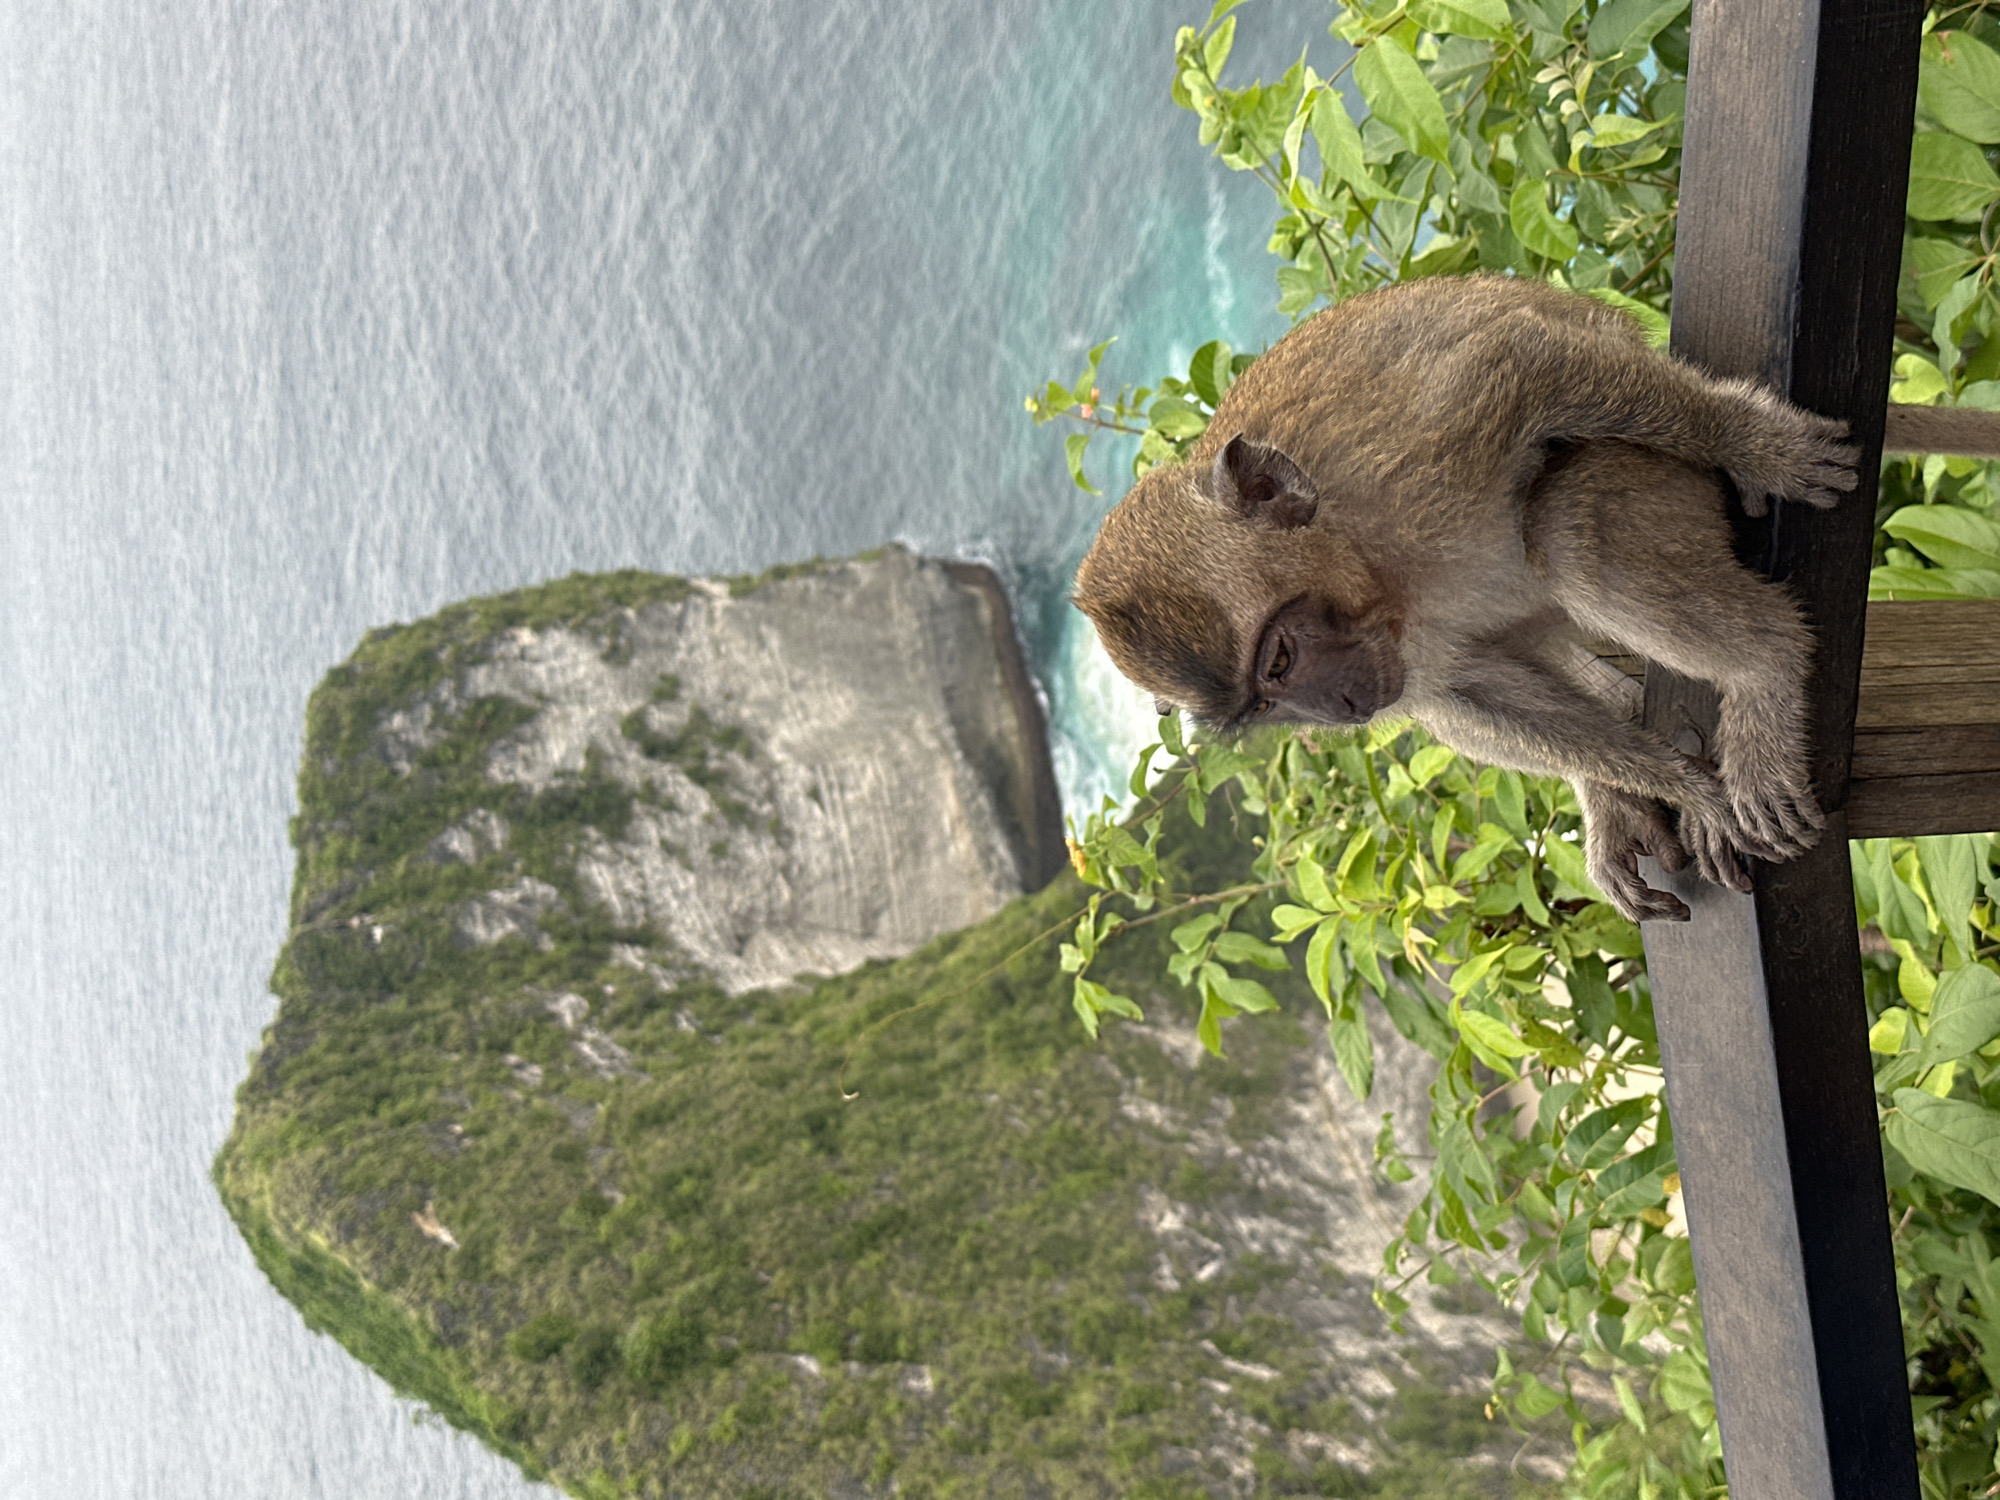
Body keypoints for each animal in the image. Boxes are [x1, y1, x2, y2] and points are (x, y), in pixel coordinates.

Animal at [1073, 274, 2000, 924]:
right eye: (1263, 708)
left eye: (1279, 657)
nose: (1333, 707)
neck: (1373, 560)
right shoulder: (1397, 647)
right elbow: (1463, 697)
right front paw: (1677, 786)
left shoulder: (1418, 447)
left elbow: (1530, 365)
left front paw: (1754, 441)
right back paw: (1614, 783)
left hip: (1669, 484)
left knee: (1569, 529)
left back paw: (1764, 663)